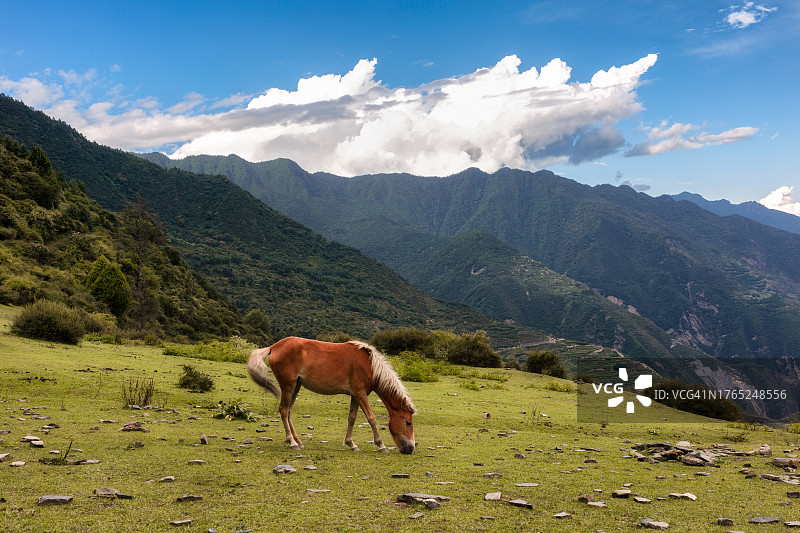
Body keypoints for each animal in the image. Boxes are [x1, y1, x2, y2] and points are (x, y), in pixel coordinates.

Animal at [247, 336, 416, 454]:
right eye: (408, 422)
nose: (411, 448)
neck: (370, 365)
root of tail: (274, 347)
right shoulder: (361, 394)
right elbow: (371, 418)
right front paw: (381, 445)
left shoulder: (355, 395)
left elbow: (352, 418)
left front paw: (351, 444)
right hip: (288, 386)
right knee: (283, 410)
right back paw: (292, 442)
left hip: (296, 386)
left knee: (288, 411)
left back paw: (298, 441)